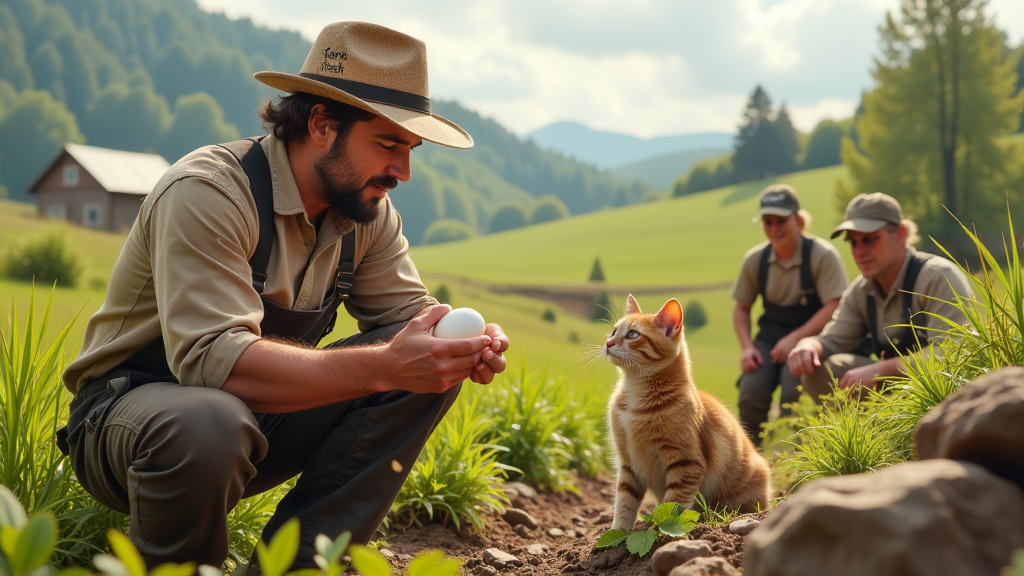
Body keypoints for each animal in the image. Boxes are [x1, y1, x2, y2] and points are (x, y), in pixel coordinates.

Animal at [606, 293, 770, 528]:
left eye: (632, 334)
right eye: (613, 331)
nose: (608, 342)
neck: (635, 397)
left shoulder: (687, 463)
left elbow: (672, 506)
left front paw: (660, 531)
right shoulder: (628, 464)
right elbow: (624, 504)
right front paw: (617, 533)